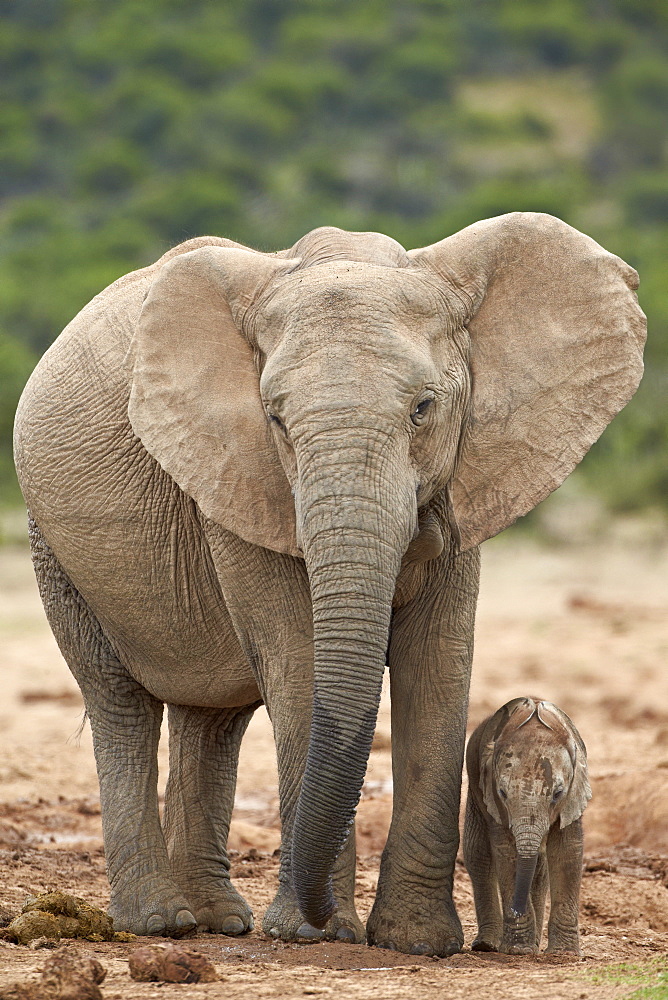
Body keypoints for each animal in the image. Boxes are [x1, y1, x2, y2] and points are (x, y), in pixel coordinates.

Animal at [464, 700, 588, 956]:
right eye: (502, 793)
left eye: (557, 793)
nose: (516, 909)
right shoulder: (492, 796)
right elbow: (506, 852)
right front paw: (518, 950)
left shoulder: (573, 797)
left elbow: (567, 850)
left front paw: (564, 954)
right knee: (477, 854)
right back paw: (487, 945)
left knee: (539, 868)